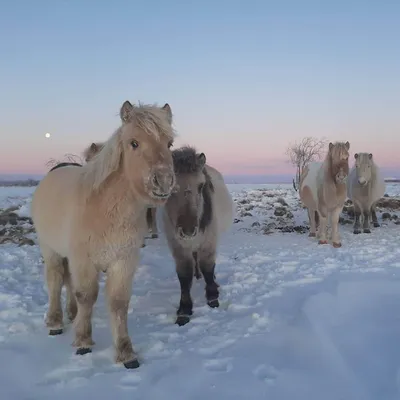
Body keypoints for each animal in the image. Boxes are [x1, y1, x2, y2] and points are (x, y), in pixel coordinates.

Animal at [31, 101, 175, 368]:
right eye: (134, 143)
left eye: (169, 143)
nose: (163, 181)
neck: (106, 210)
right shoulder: (84, 261)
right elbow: (87, 296)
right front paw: (83, 342)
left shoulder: (123, 262)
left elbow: (118, 303)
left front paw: (126, 353)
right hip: (51, 250)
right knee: (55, 281)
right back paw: (55, 322)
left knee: (67, 282)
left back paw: (71, 313)